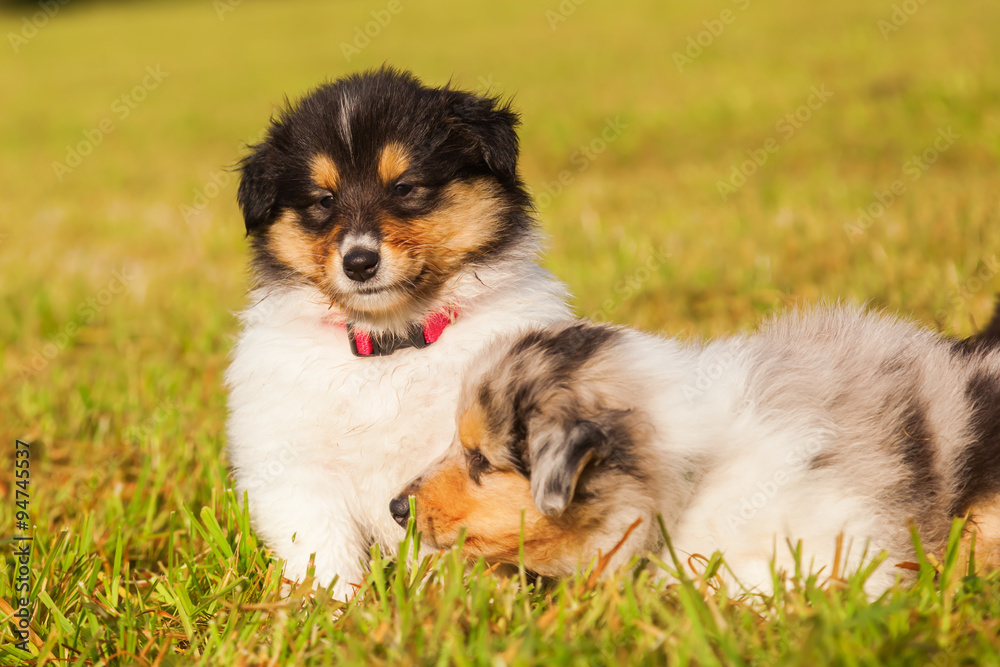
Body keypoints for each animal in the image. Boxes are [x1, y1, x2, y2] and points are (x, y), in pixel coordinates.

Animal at [227, 68, 572, 600]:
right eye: (323, 200)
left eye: (406, 187)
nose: (359, 262)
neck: (390, 343)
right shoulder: (297, 467)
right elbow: (322, 553)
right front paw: (330, 610)